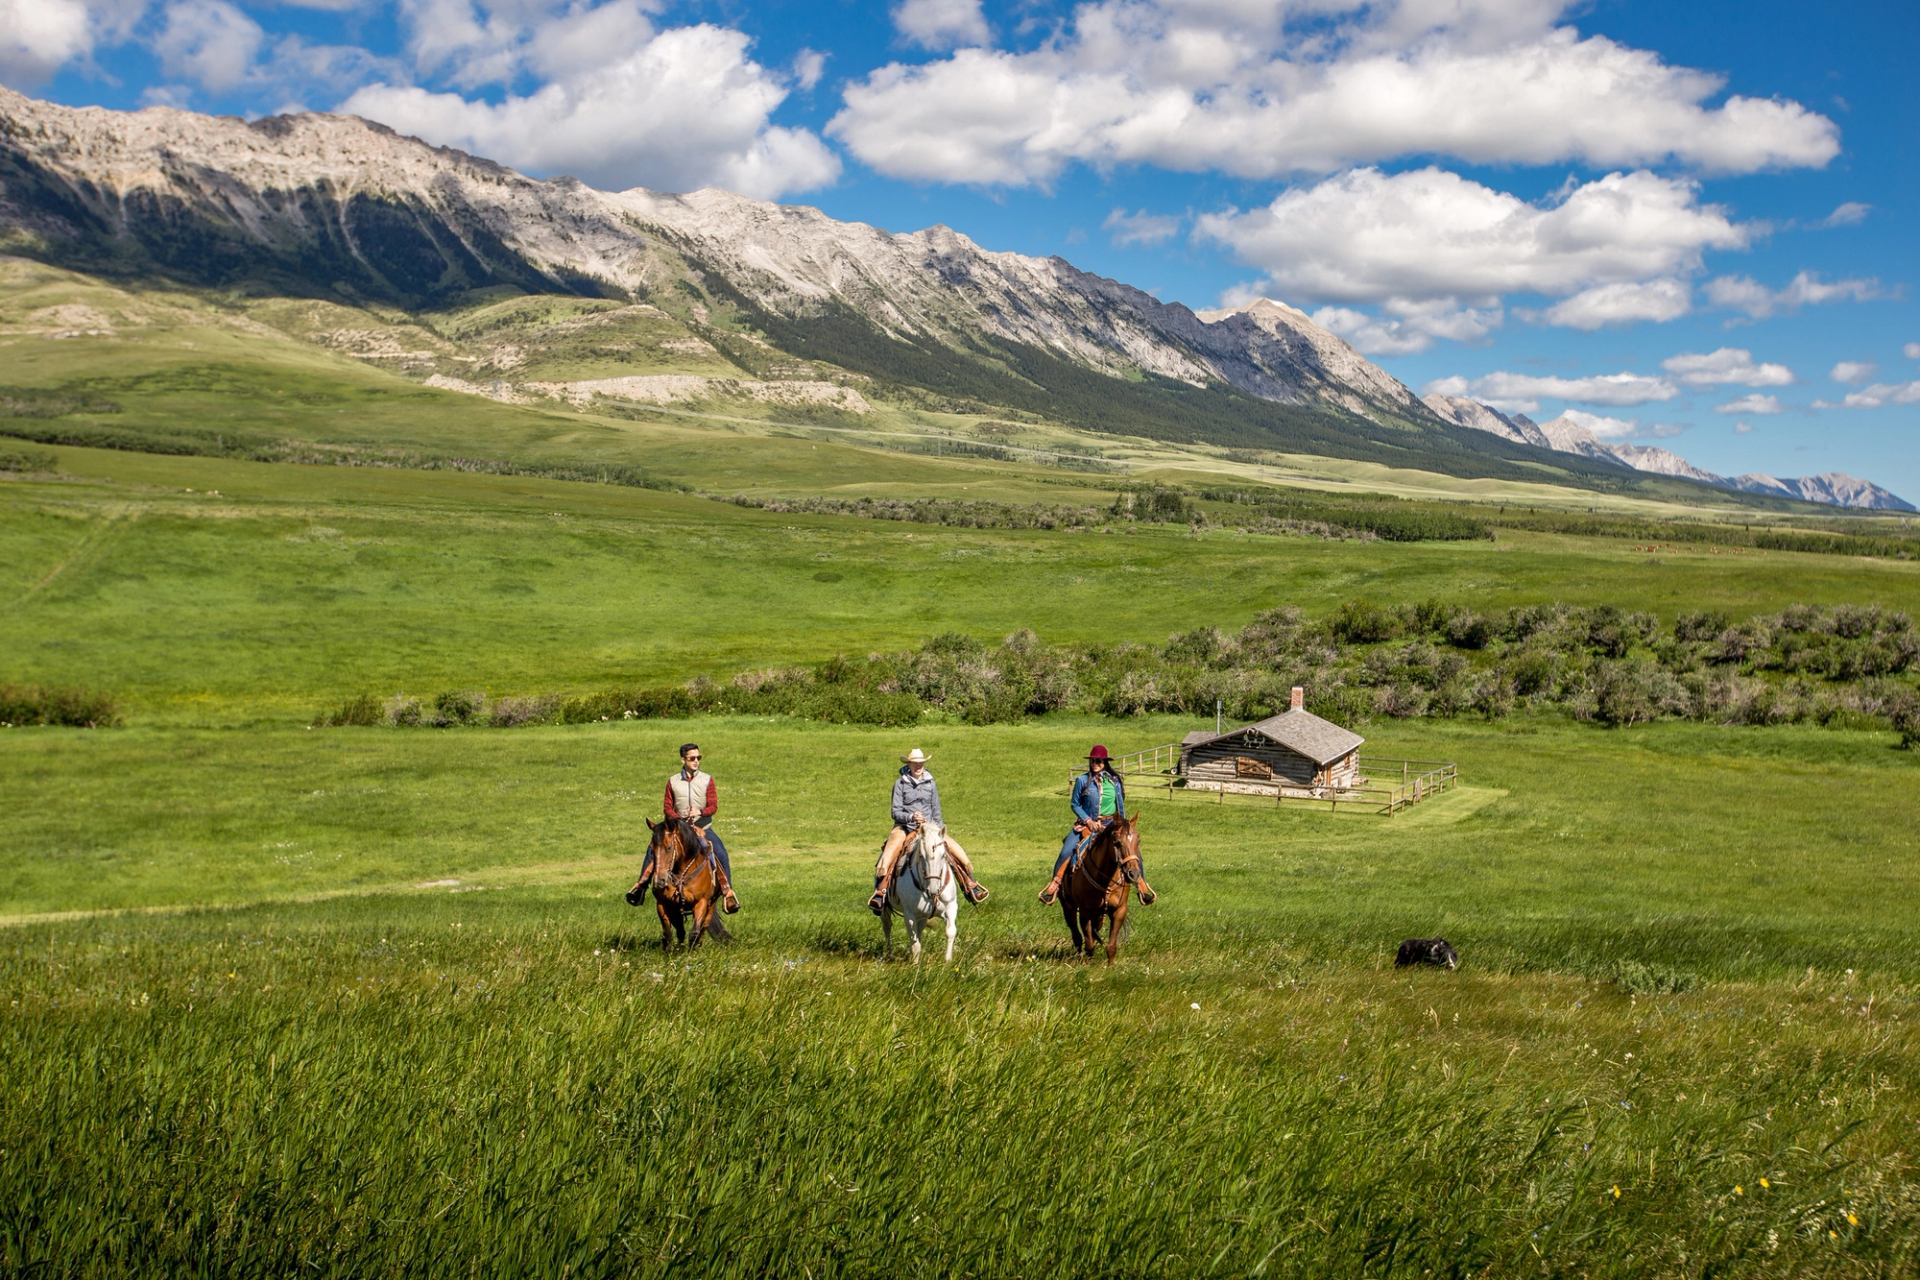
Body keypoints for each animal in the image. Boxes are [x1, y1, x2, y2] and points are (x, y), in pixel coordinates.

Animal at [625, 821, 729, 951]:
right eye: (652, 850)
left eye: (669, 847)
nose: (659, 882)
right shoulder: (664, 903)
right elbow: (669, 934)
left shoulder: (702, 902)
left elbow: (694, 932)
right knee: (680, 930)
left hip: (710, 907)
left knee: (702, 928)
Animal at [883, 821, 960, 959]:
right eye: (921, 856)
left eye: (943, 855)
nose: (933, 889)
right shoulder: (909, 915)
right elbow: (915, 944)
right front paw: (915, 963)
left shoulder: (951, 907)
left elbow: (950, 932)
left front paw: (948, 960)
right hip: (885, 908)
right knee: (887, 926)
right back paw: (889, 954)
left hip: (923, 916)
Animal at [1052, 817, 1152, 967]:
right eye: (1117, 842)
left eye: (1138, 840)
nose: (1133, 874)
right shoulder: (1085, 912)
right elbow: (1089, 944)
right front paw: (1087, 966)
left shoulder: (1119, 910)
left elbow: (1111, 946)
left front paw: (1110, 967)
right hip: (1068, 907)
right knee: (1076, 935)